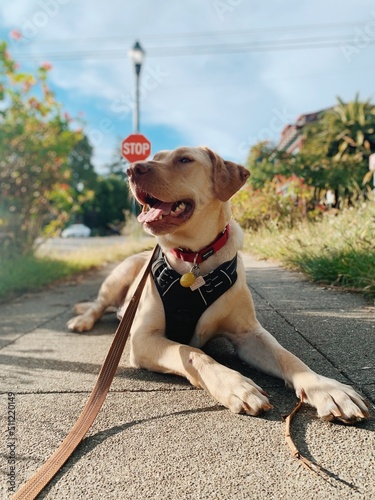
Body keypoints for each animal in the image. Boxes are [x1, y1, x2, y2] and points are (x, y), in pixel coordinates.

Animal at [67, 146, 370, 424]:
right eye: (156, 157)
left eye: (184, 159)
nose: (132, 169)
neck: (194, 257)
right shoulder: (143, 338)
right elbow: (192, 352)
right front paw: (236, 385)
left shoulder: (249, 333)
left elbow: (289, 357)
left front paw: (326, 388)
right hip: (119, 275)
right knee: (98, 305)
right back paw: (83, 320)